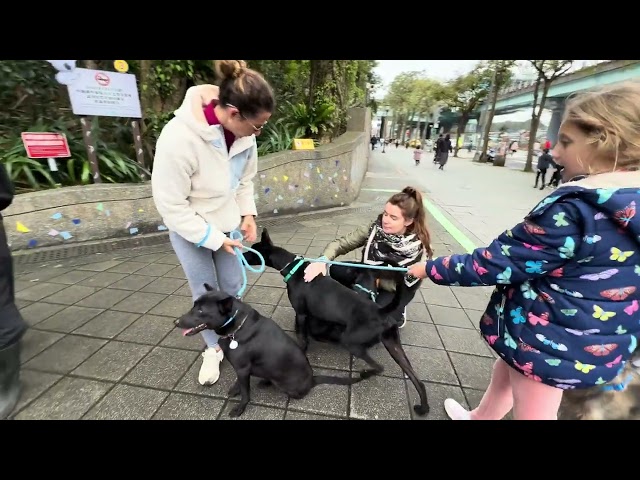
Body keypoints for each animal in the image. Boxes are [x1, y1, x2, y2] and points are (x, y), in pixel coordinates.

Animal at [175, 284, 364, 416]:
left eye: (201, 310)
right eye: (194, 305)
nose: (175, 322)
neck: (235, 328)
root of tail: (312, 379)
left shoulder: (242, 368)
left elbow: (246, 393)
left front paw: (240, 408)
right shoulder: (241, 369)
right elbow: (240, 382)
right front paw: (236, 388)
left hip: (288, 386)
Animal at [242, 230, 432, 416]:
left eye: (252, 252)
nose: (241, 256)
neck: (293, 268)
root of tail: (381, 311)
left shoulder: (301, 314)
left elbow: (301, 341)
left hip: (351, 342)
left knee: (379, 367)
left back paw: (365, 374)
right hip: (393, 345)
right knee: (417, 380)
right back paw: (423, 407)